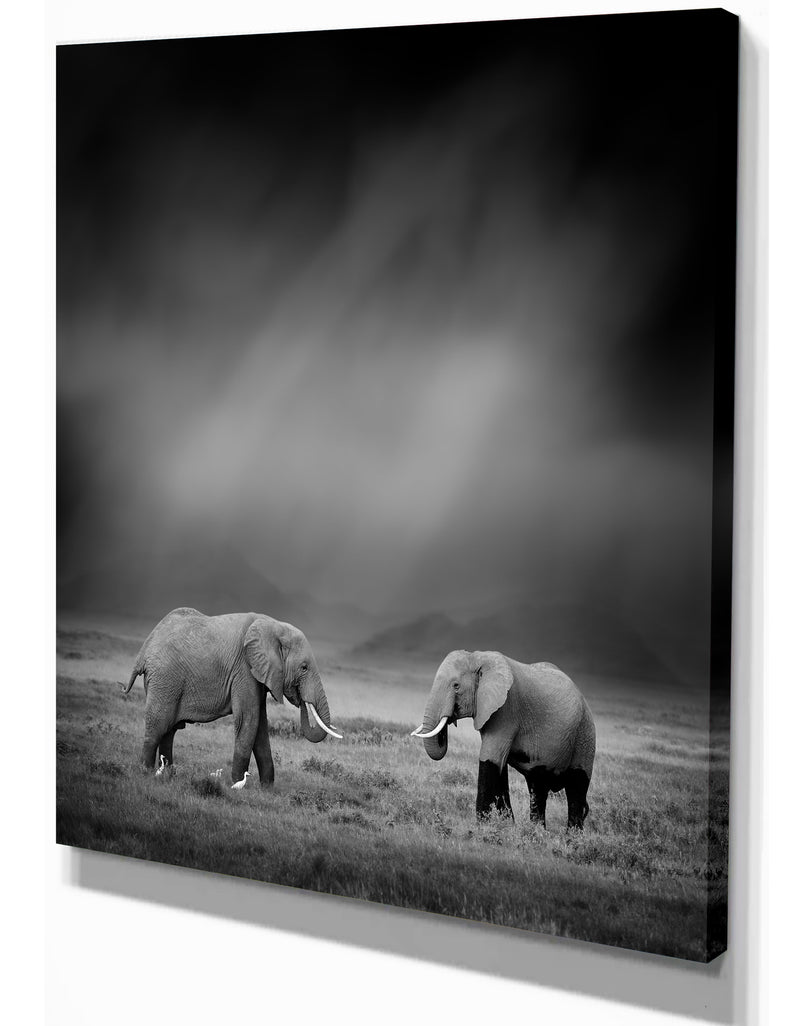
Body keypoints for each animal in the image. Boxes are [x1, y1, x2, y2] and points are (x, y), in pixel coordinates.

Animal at [121, 607, 340, 785]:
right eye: (304, 668)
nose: (300, 698)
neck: (274, 625)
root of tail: (145, 648)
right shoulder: (244, 669)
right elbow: (249, 720)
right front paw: (236, 784)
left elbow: (260, 726)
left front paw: (267, 789)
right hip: (164, 679)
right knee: (158, 725)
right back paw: (146, 772)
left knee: (169, 730)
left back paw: (169, 773)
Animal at [411, 651, 595, 828]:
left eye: (456, 686)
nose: (449, 719)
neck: (477, 657)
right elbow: (499, 767)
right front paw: (507, 826)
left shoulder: (506, 711)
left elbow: (490, 761)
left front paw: (483, 829)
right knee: (538, 788)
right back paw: (537, 832)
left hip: (585, 735)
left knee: (577, 788)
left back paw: (572, 837)